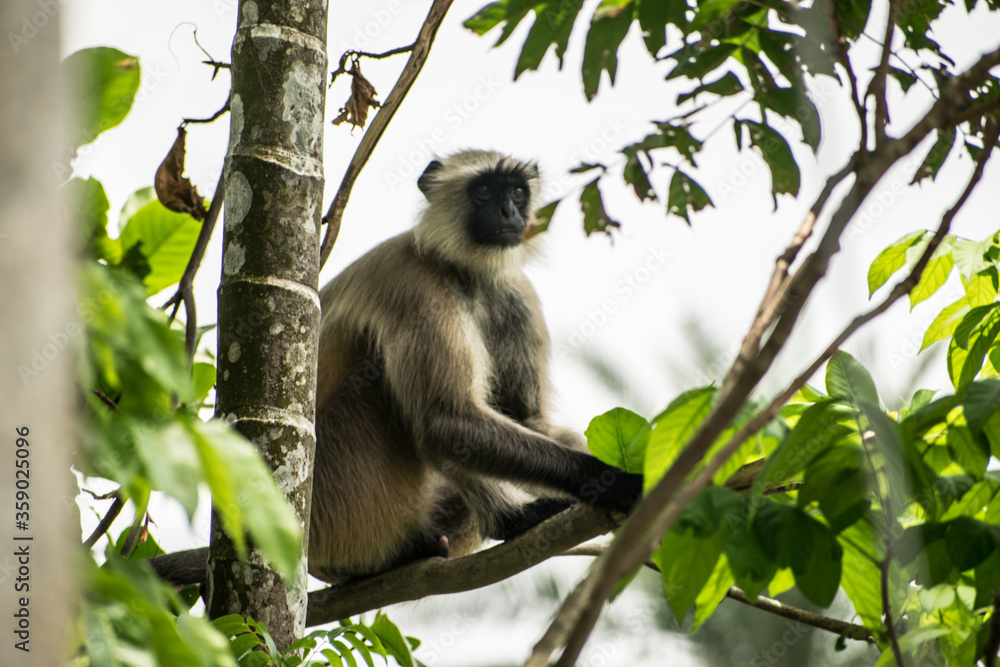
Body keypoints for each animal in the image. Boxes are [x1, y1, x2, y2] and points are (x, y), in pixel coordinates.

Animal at [148, 149, 642, 586]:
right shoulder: (417, 284)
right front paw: (612, 480)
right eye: (484, 191)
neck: (462, 271)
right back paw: (499, 522)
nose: (507, 211)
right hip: (348, 499)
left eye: (517, 192)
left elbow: (525, 417)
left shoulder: (515, 294)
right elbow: (445, 420)